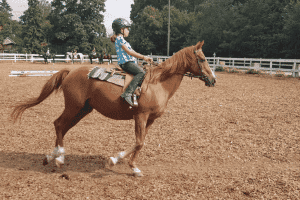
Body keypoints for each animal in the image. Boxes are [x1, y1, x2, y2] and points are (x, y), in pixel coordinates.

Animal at [9, 40, 216, 177]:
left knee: (61, 126)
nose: (213, 80)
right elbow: (139, 142)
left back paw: (51, 156)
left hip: (82, 110)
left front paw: (129, 164)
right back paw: (59, 158)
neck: (158, 83)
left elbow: (140, 142)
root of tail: (71, 71)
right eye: (202, 59)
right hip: (74, 107)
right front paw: (119, 161)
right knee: (59, 124)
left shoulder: (150, 119)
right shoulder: (140, 116)